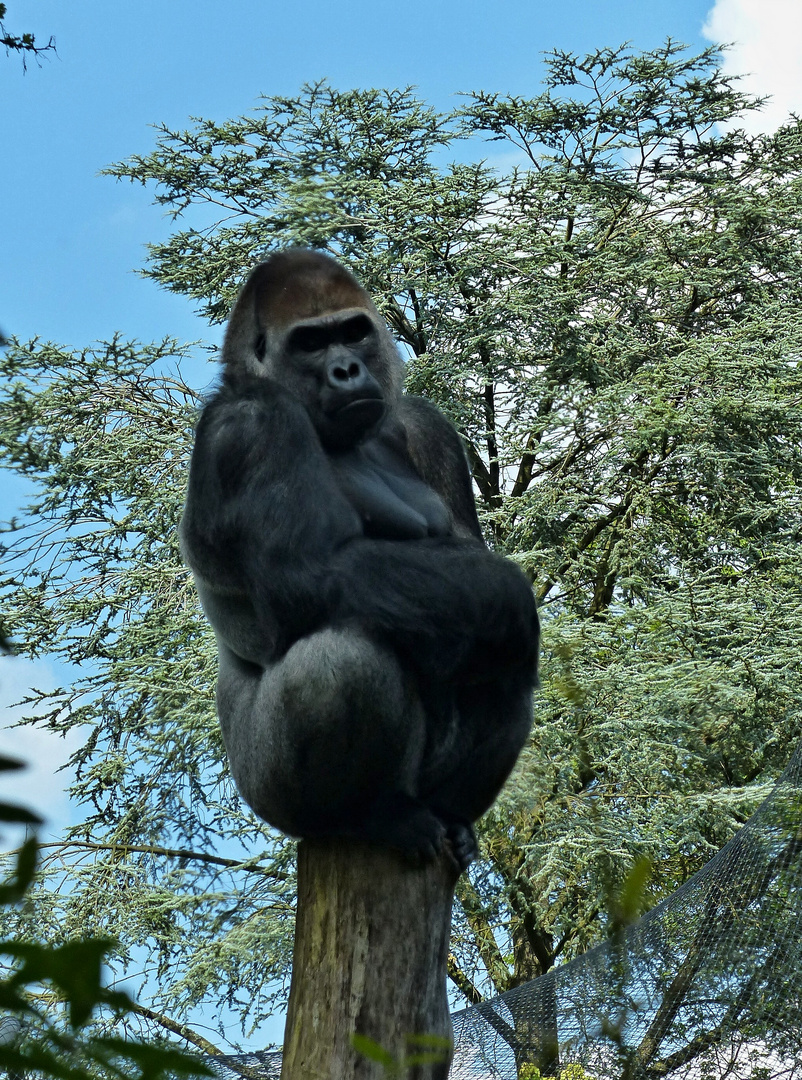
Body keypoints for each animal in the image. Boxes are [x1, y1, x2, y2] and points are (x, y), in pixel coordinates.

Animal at [182, 247, 539, 868]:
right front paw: (511, 600)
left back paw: (450, 815)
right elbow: (313, 571)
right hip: (266, 792)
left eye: (353, 333)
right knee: (347, 656)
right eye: (310, 343)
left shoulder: (425, 424)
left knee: (492, 659)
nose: (346, 370)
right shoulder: (254, 422)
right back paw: (371, 814)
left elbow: (466, 563)